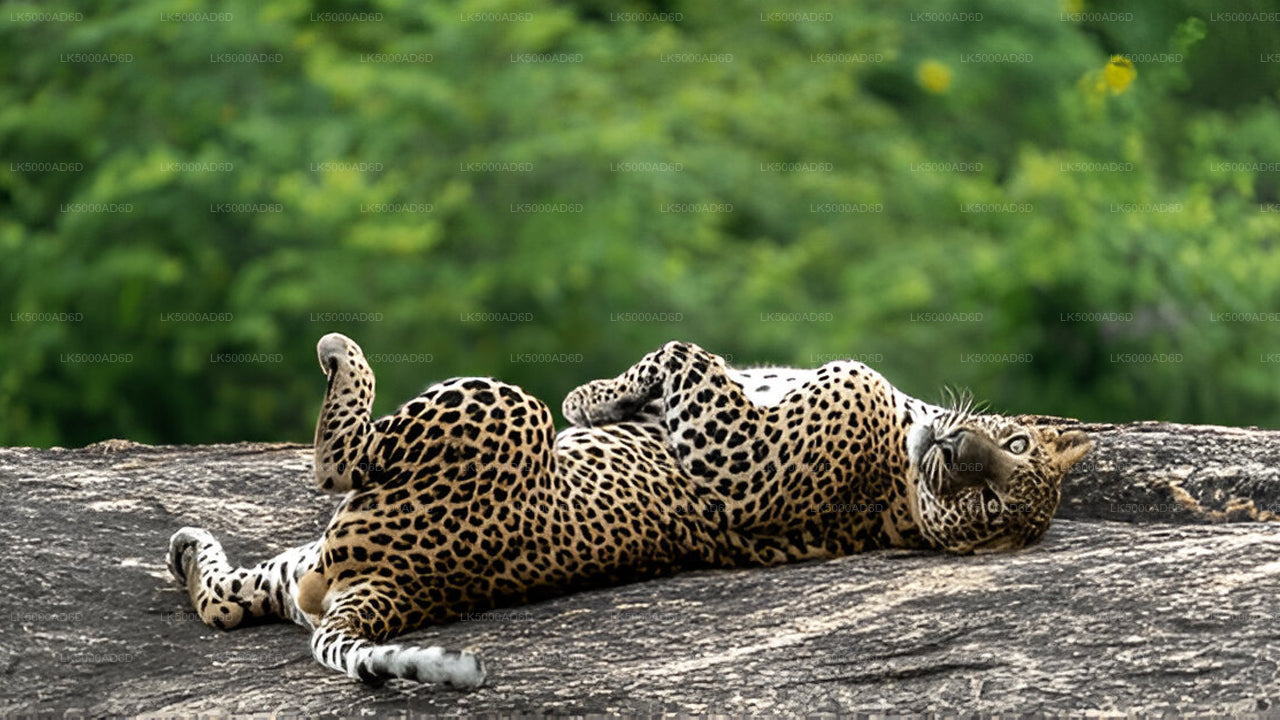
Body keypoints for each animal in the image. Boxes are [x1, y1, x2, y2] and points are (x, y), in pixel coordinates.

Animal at [167, 334, 813, 688]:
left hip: (498, 401)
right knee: (223, 605)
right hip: (302, 569)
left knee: (339, 456)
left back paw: (337, 353)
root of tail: (400, 589)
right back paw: (185, 550)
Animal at [562, 341, 1093, 556]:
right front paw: (598, 398)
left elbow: (683, 352)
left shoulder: (745, 461)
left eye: (987, 502)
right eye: (1016, 443)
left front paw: (585, 399)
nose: (958, 447)